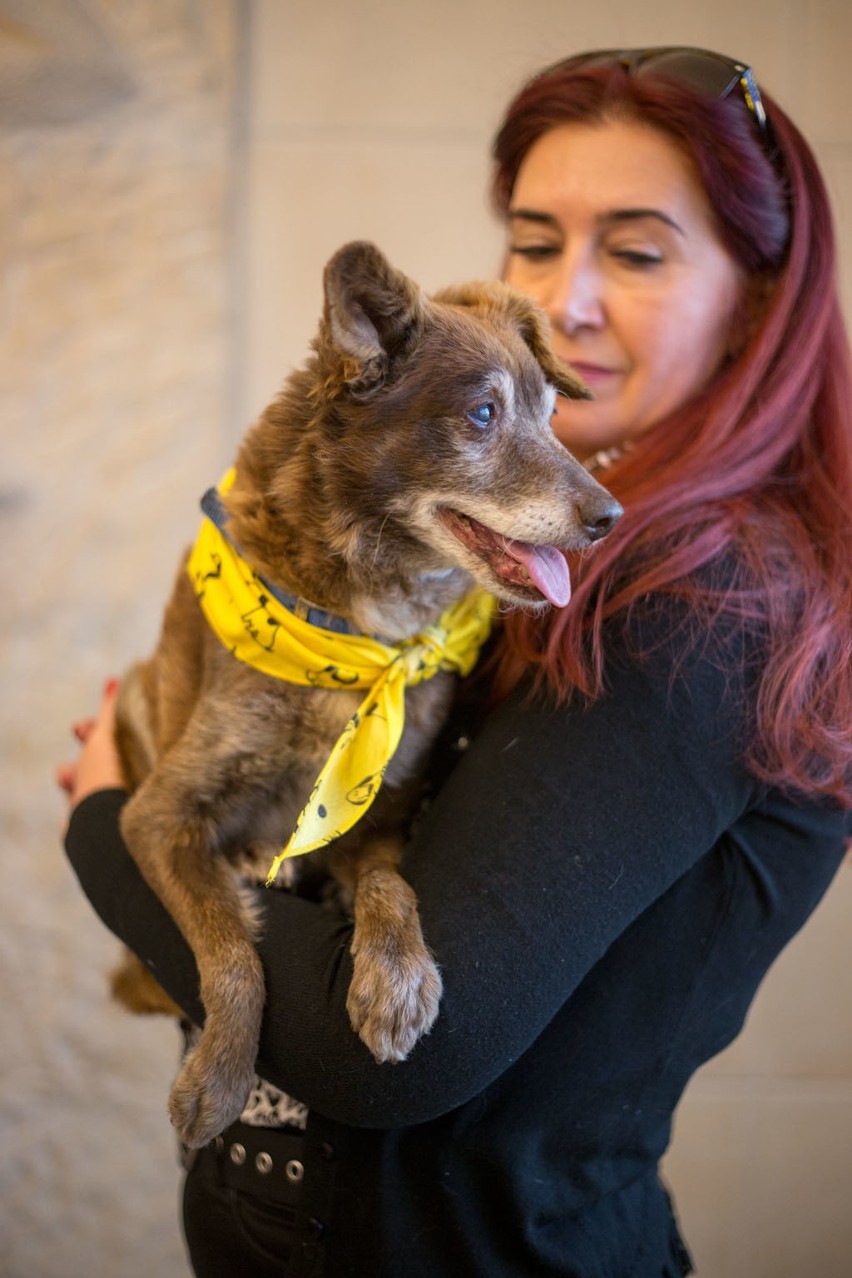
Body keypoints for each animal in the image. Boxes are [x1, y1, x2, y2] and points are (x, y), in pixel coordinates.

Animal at [109, 240, 623, 1150]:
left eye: (553, 411)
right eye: (483, 414)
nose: (610, 515)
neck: (368, 635)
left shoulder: (376, 816)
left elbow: (391, 884)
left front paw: (396, 979)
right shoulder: (158, 815)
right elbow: (231, 953)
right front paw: (218, 1076)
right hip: (139, 698)